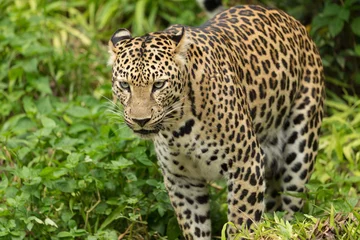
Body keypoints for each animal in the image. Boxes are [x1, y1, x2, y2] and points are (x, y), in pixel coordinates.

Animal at [108, 4, 324, 240]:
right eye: (125, 85)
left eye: (158, 85)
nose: (141, 120)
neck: (178, 128)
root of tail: (288, 18)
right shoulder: (182, 180)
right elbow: (195, 227)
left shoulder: (245, 163)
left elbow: (242, 221)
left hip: (300, 150)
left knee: (292, 204)